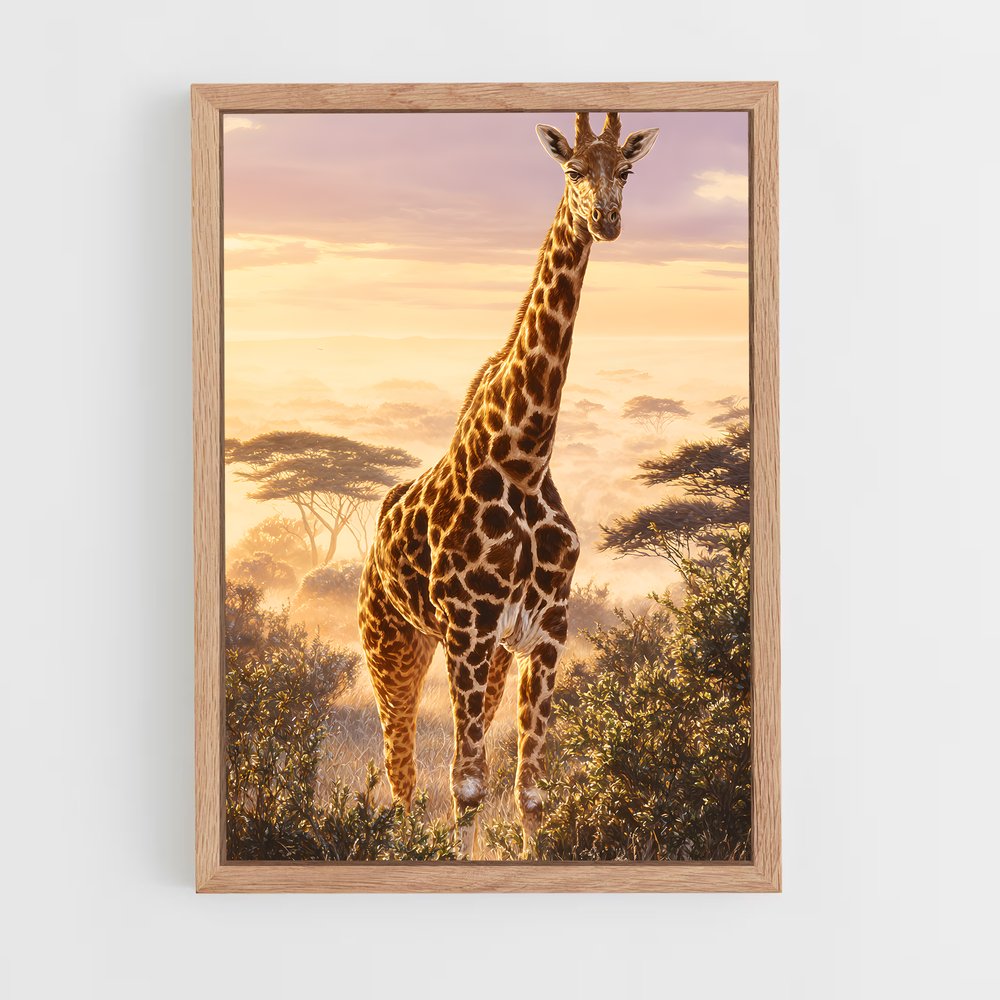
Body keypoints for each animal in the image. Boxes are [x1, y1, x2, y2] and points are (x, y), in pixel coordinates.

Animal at [358, 111, 659, 858]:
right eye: (572, 170)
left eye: (626, 169)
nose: (606, 220)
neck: (524, 459)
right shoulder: (467, 631)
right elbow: (466, 785)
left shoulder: (546, 632)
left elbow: (529, 791)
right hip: (393, 644)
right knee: (402, 771)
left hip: (486, 659)